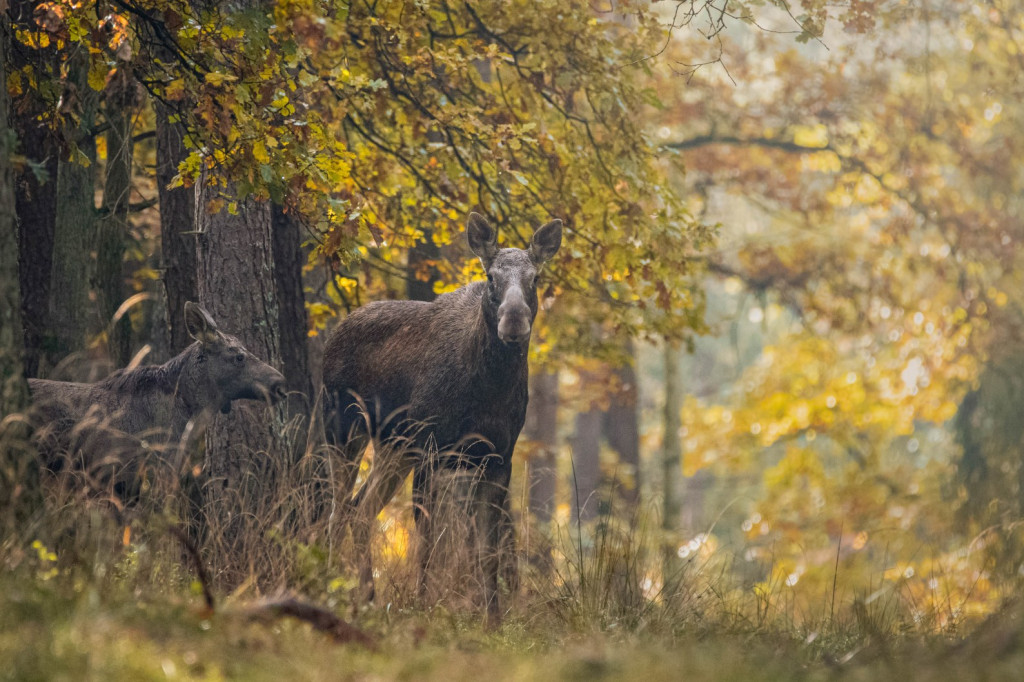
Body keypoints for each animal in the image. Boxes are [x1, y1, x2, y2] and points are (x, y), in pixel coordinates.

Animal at [325, 210, 561, 622]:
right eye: (491, 276)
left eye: (535, 278)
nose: (514, 320)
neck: (488, 390)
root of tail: (334, 333)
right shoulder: (431, 450)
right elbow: (429, 541)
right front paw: (424, 606)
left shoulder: (498, 457)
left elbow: (487, 549)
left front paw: (493, 619)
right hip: (345, 427)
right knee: (338, 509)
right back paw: (327, 586)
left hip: (394, 446)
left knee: (360, 508)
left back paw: (366, 595)